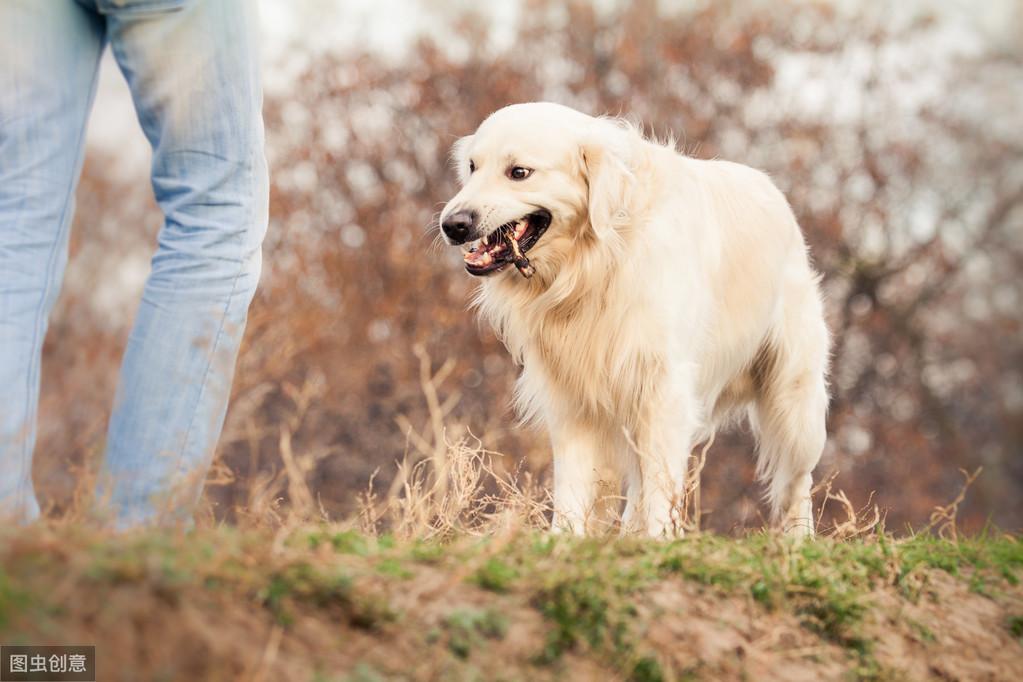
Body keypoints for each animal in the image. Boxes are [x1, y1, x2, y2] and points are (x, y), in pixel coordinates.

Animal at [439, 102, 830, 539]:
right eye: (472, 167)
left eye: (519, 172)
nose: (453, 224)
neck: (594, 262)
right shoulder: (572, 396)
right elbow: (573, 483)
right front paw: (564, 539)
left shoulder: (664, 388)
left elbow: (660, 482)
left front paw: (661, 540)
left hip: (795, 402)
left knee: (796, 482)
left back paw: (800, 540)